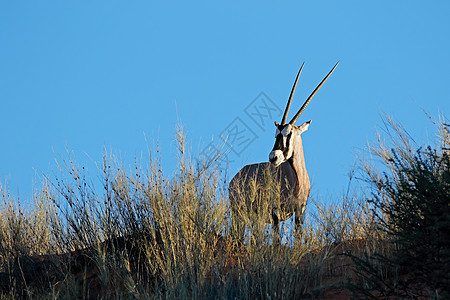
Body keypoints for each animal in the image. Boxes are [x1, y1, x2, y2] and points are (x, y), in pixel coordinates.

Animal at [229, 61, 338, 244]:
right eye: (276, 135)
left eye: (290, 133)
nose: (273, 157)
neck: (296, 179)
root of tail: (236, 176)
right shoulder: (275, 212)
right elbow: (277, 242)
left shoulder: (300, 211)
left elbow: (298, 238)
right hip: (239, 214)